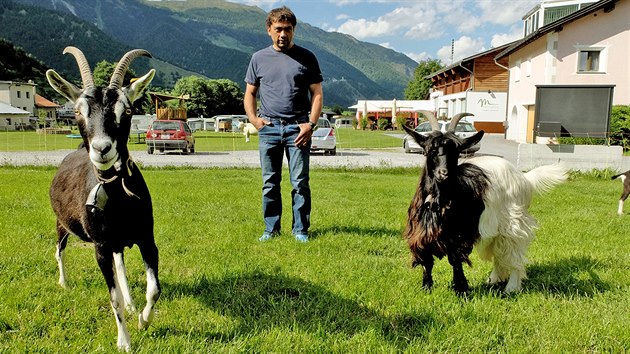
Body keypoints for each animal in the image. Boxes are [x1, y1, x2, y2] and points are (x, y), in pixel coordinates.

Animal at [47, 47, 159, 352]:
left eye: (127, 110)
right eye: (77, 111)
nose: (101, 148)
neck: (118, 197)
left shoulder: (146, 237)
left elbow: (154, 289)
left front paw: (143, 320)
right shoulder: (100, 246)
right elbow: (113, 298)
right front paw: (124, 341)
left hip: (118, 242)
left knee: (120, 266)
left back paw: (132, 304)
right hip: (62, 224)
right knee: (59, 250)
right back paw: (63, 283)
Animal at [402, 112, 572, 294]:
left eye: (457, 152)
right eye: (430, 151)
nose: (444, 173)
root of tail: (524, 178)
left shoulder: (458, 235)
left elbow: (455, 260)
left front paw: (461, 289)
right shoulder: (421, 235)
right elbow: (427, 262)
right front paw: (426, 288)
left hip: (513, 222)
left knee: (514, 253)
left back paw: (511, 287)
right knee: (499, 252)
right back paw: (493, 279)